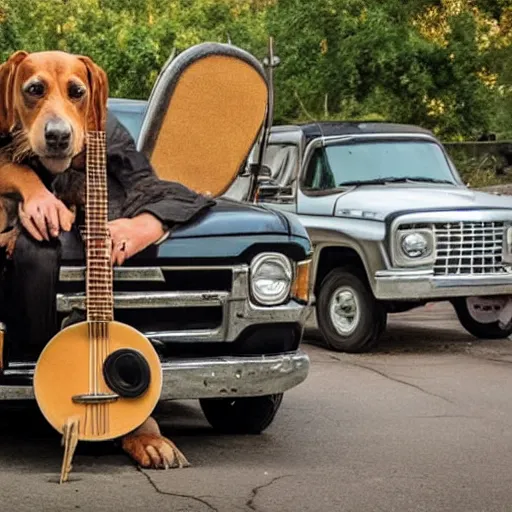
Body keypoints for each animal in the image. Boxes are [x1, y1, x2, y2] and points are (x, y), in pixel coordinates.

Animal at [0, 50, 189, 470]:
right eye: (33, 89)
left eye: (78, 92)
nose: (58, 135)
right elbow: (15, 169)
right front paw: (39, 204)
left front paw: (148, 437)